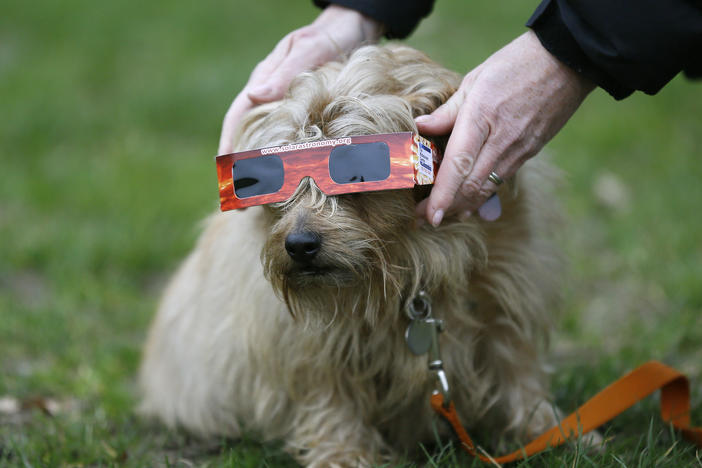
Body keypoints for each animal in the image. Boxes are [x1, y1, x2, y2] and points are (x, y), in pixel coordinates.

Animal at [140, 44, 564, 468]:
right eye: (266, 180)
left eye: (357, 172)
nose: (299, 245)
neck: (411, 260)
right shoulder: (308, 343)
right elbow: (329, 395)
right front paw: (345, 455)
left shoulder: (503, 300)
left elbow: (516, 367)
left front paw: (542, 430)